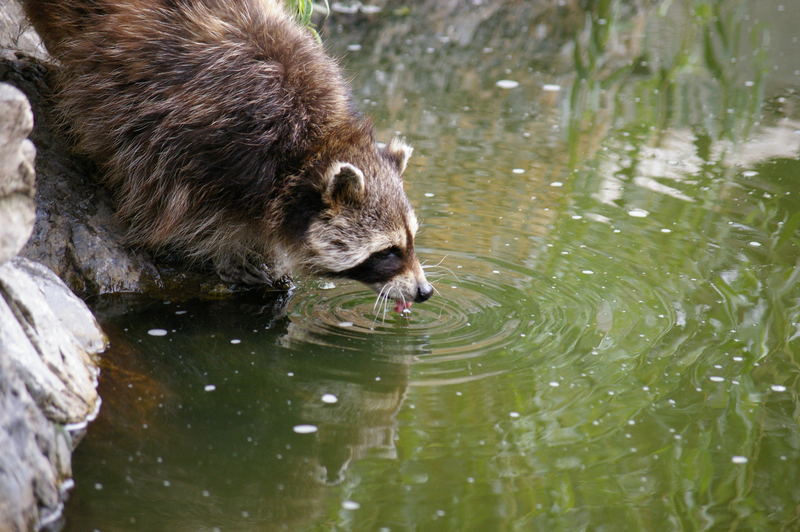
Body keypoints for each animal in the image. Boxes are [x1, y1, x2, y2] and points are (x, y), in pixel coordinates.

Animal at [20, 0, 432, 308]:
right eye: (389, 251)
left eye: (411, 239)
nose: (424, 291)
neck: (310, 149)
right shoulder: (187, 130)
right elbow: (163, 198)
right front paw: (220, 249)